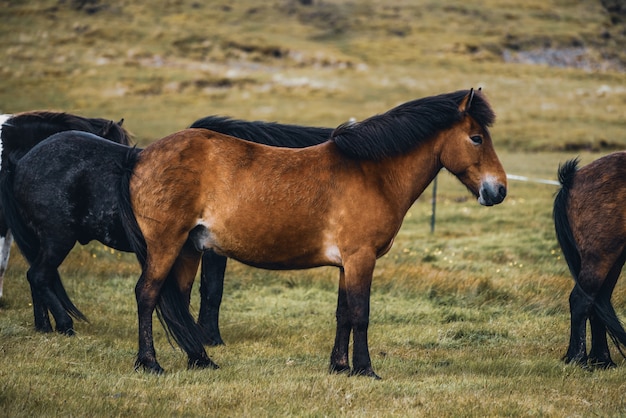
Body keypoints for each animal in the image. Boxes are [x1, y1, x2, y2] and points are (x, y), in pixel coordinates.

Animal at [120, 88, 508, 376]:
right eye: (476, 138)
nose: (498, 190)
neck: (372, 173)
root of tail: (141, 157)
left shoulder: (347, 264)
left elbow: (343, 314)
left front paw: (339, 366)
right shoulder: (361, 259)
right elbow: (361, 314)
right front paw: (365, 369)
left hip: (189, 249)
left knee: (177, 301)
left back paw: (200, 360)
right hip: (166, 245)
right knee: (147, 294)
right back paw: (149, 363)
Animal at [552, 153, 624, 366]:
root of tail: (572, 179)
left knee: (598, 300)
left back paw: (602, 360)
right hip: (601, 254)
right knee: (581, 300)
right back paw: (577, 359)